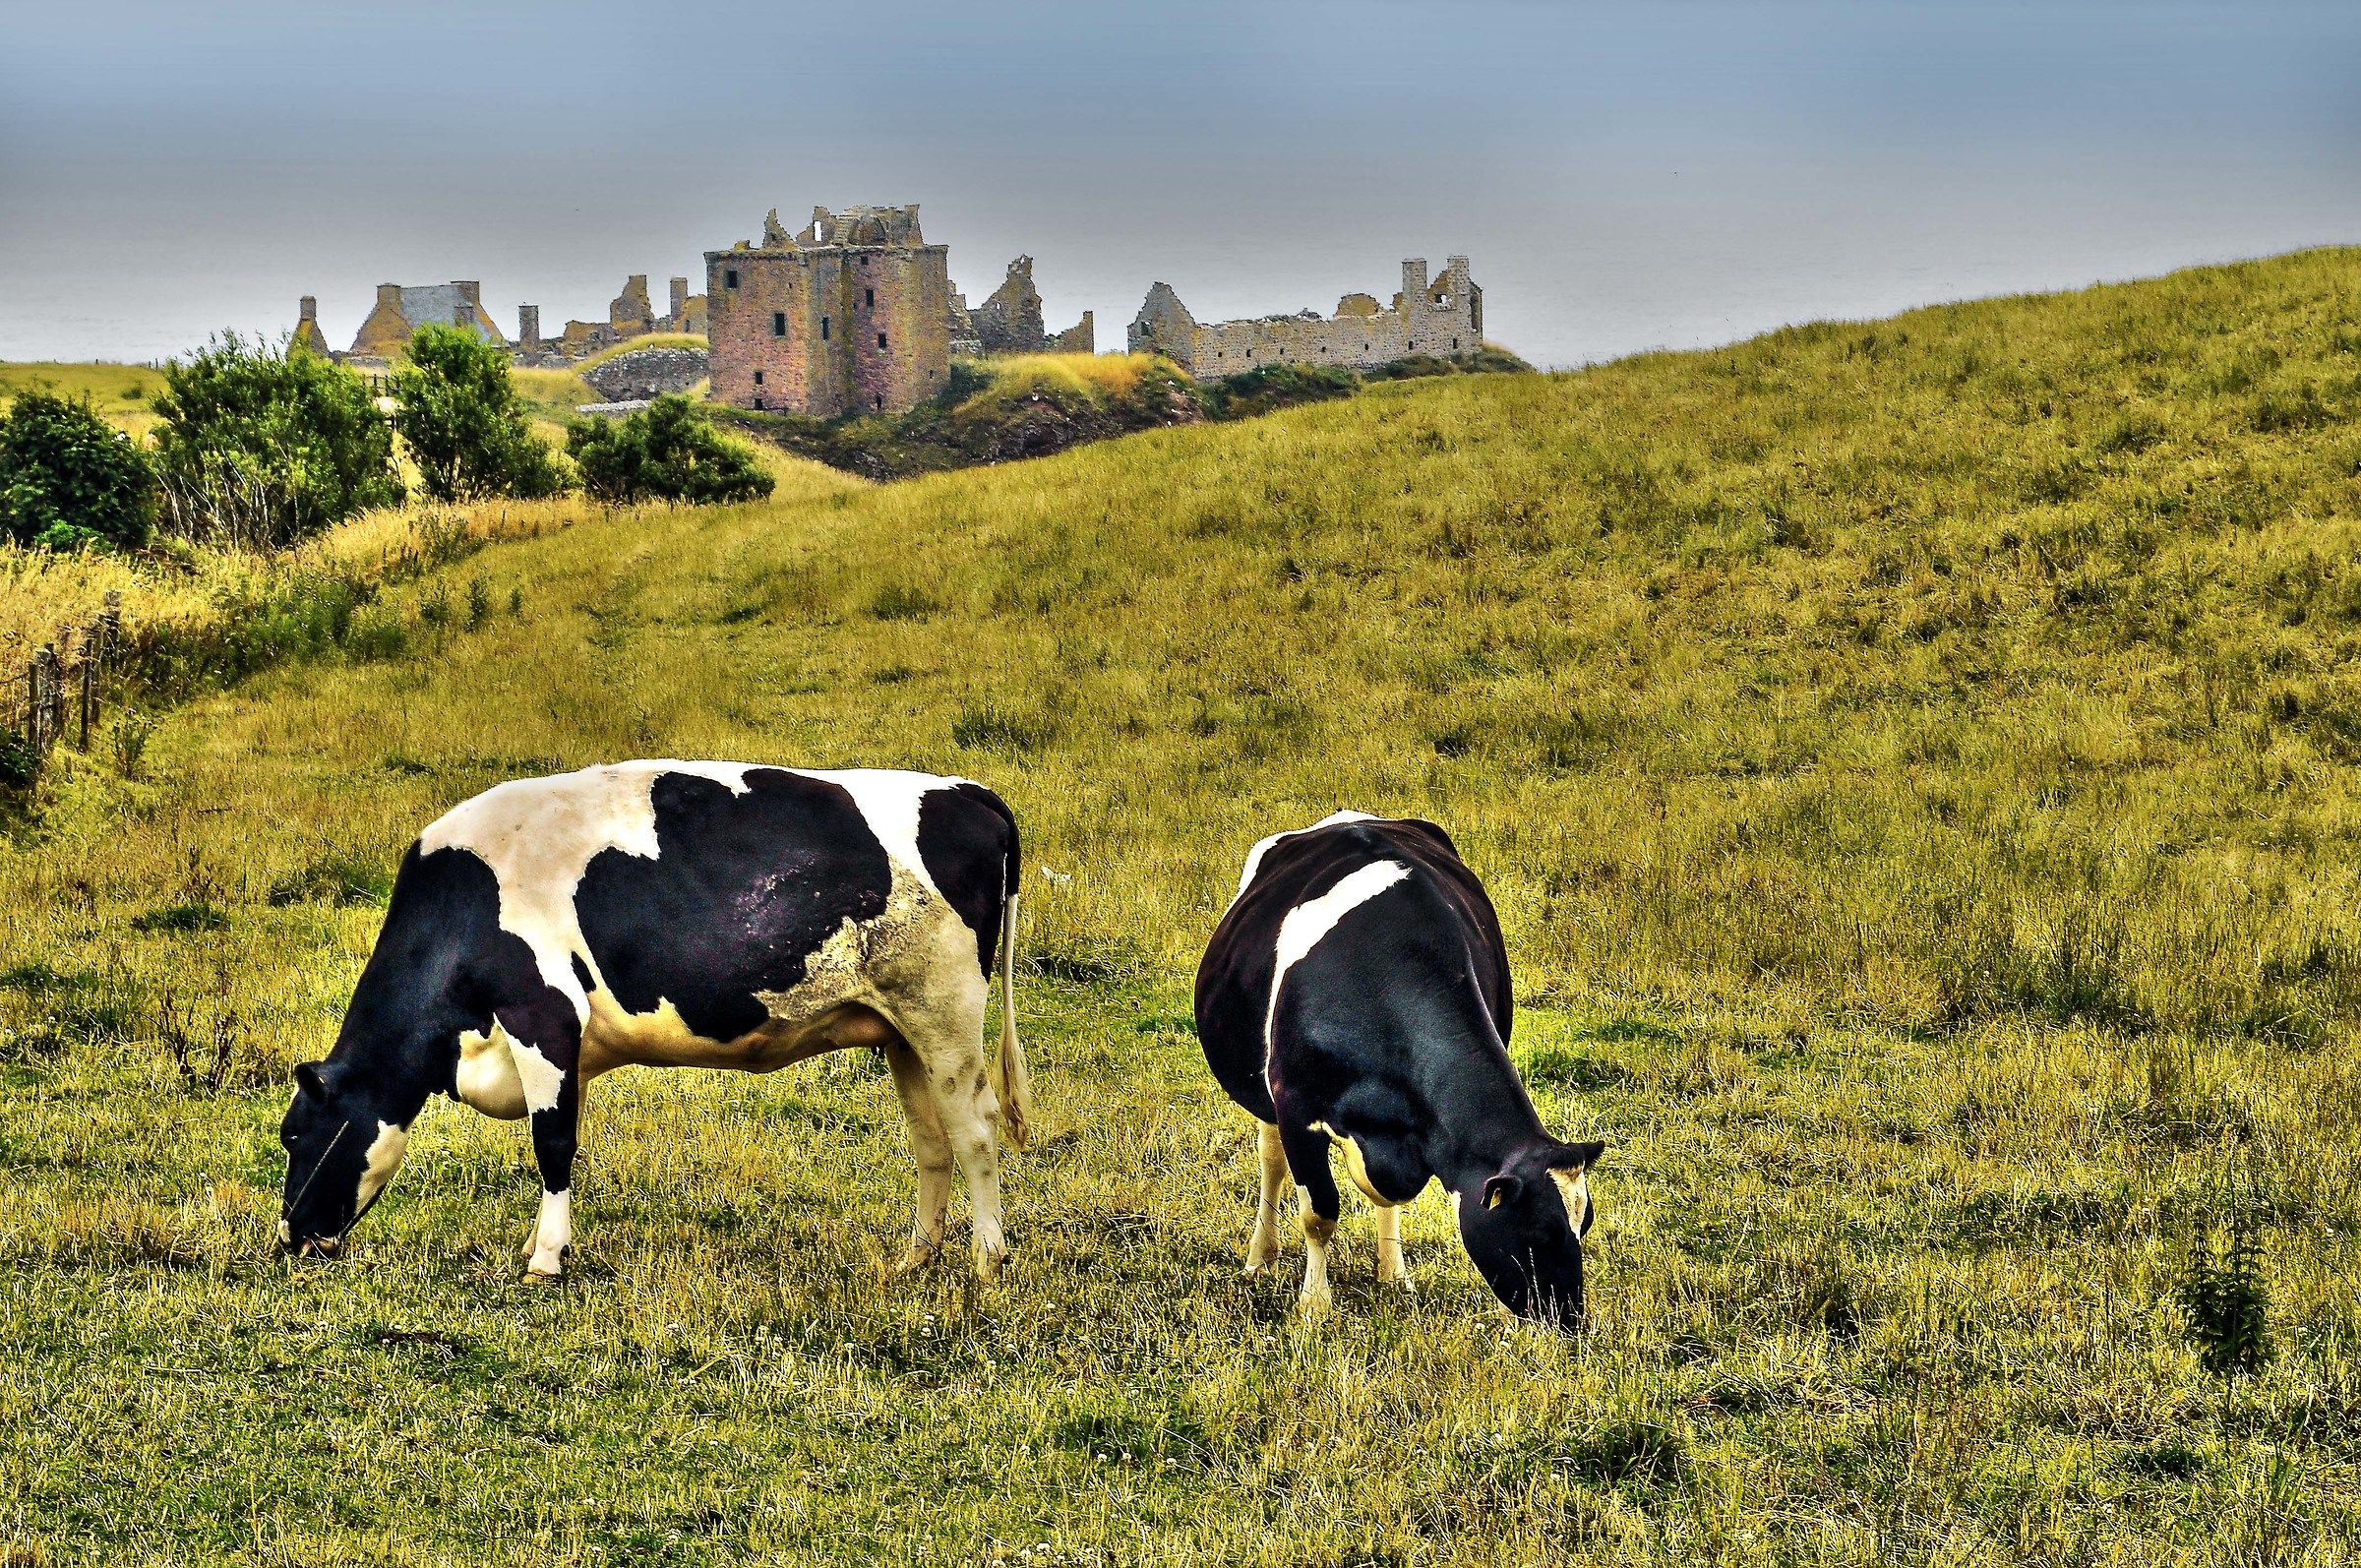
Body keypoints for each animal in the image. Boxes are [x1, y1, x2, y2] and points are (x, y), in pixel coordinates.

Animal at [278, 761, 1033, 1281]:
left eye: (292, 1135)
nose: (289, 1236)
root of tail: (968, 791)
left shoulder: (544, 1016)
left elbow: (553, 1145)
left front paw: (546, 1258)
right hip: (901, 1026)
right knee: (931, 1139)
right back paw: (915, 1259)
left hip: (948, 1010)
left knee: (976, 1129)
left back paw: (987, 1260)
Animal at [1195, 811, 1605, 1329]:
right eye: (1537, 1232)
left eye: (1584, 1224)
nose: (1569, 1319)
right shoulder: (1296, 1108)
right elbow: (1318, 1213)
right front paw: (1315, 1305)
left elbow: (1385, 1198)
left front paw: (1392, 1273)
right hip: (1264, 1094)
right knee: (1272, 1163)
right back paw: (1260, 1259)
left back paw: (1391, 1273)